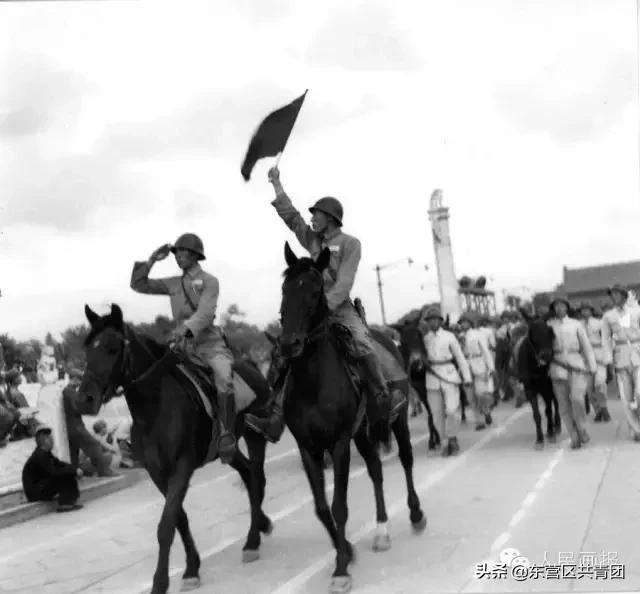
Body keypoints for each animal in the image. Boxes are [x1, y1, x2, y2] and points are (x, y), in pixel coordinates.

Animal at [77, 306, 272, 592]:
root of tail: (251, 366)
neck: (155, 407)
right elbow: (179, 519)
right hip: (229, 449)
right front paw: (192, 567)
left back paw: (252, 541)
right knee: (248, 474)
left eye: (113, 348)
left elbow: (166, 525)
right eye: (88, 348)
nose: (84, 399)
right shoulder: (158, 473)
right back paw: (261, 525)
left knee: (257, 477)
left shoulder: (182, 467)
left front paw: (161, 581)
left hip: (255, 435)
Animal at [278, 242, 424, 592]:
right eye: (285, 289)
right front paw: (345, 550)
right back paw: (382, 530)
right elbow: (321, 509)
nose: (289, 344)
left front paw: (341, 568)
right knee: (376, 471)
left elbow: (339, 506)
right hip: (364, 432)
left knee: (406, 460)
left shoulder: (339, 443)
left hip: (396, 420)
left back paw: (415, 514)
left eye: (314, 291)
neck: (312, 382)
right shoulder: (308, 448)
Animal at [516, 308, 560, 446]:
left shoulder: (547, 386)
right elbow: (537, 414)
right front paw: (539, 438)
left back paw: (557, 426)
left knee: (556, 403)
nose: (546, 355)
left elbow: (549, 410)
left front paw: (550, 432)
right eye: (532, 333)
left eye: (550, 332)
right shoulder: (529, 388)